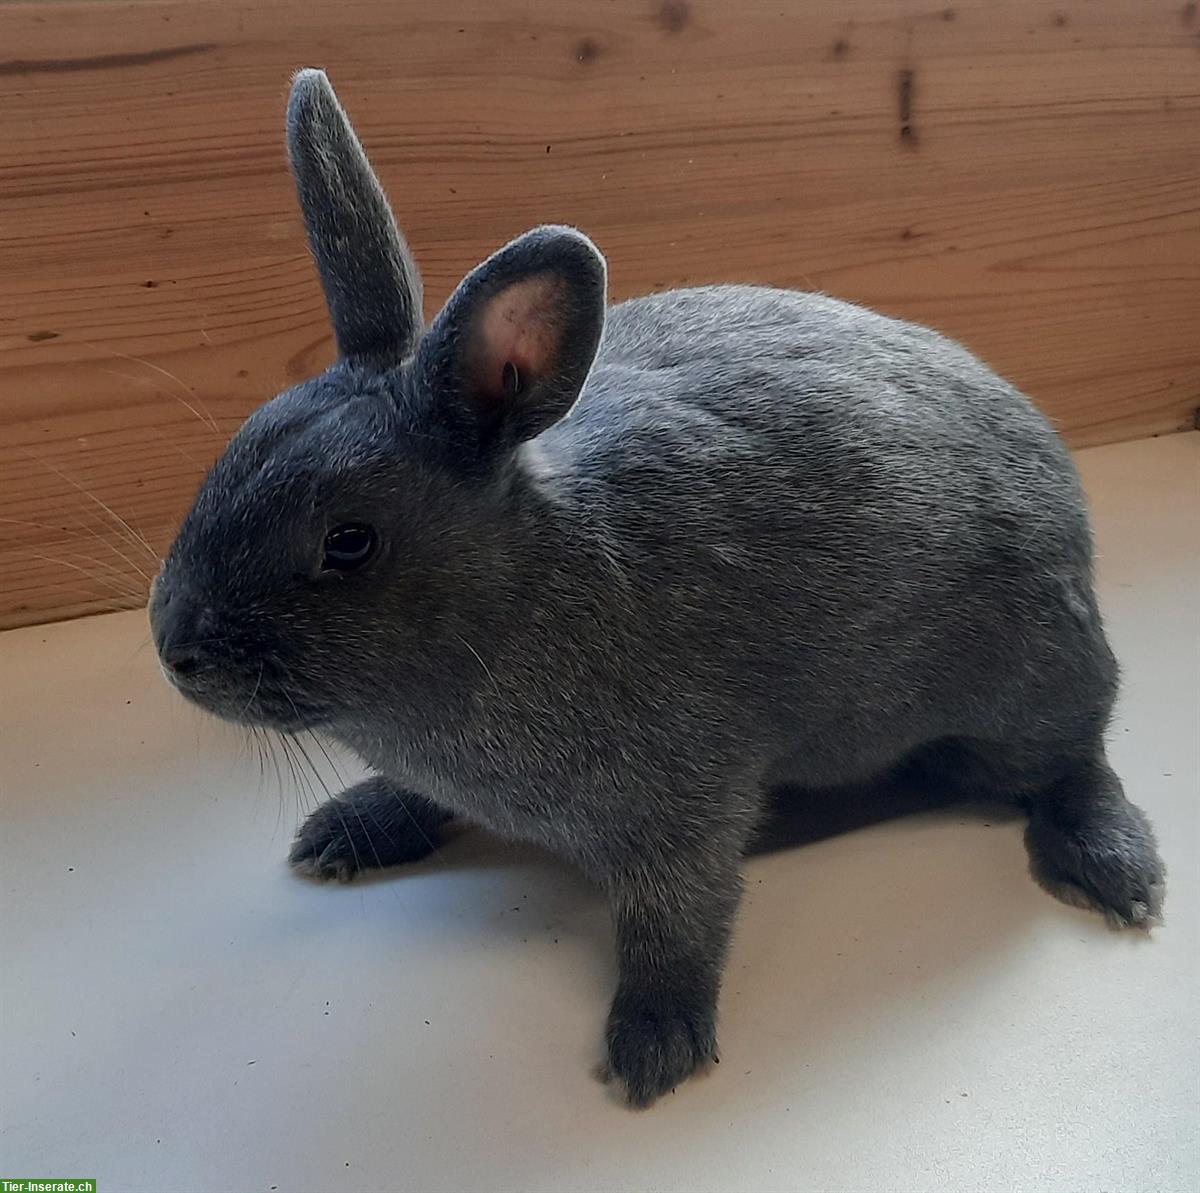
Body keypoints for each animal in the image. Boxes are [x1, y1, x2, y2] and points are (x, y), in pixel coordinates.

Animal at [150, 69, 1161, 1104]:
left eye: (350, 543)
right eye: (236, 450)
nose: (173, 648)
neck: (516, 598)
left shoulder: (685, 809)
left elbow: (680, 921)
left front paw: (653, 1045)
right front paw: (348, 829)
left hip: (1023, 690)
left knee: (1079, 757)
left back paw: (1114, 869)